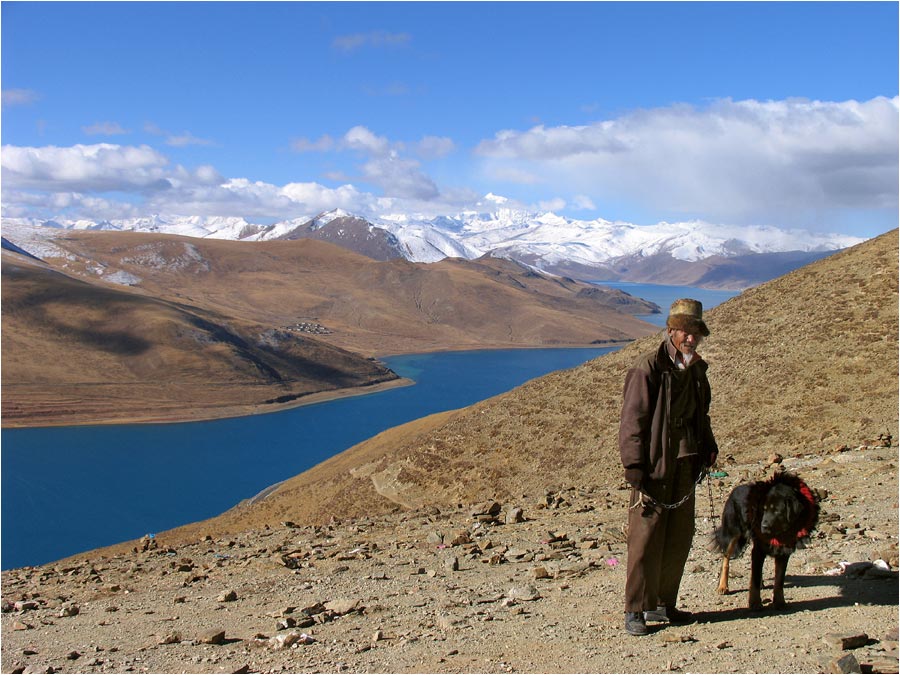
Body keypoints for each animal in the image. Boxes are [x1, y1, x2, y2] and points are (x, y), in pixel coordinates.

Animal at [712, 472, 820, 608]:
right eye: (763, 509)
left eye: (777, 511)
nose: (763, 526)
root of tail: (736, 489)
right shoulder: (758, 550)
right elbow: (755, 579)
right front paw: (755, 603)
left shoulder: (784, 553)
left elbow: (779, 580)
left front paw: (779, 603)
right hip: (733, 533)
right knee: (726, 559)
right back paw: (723, 586)